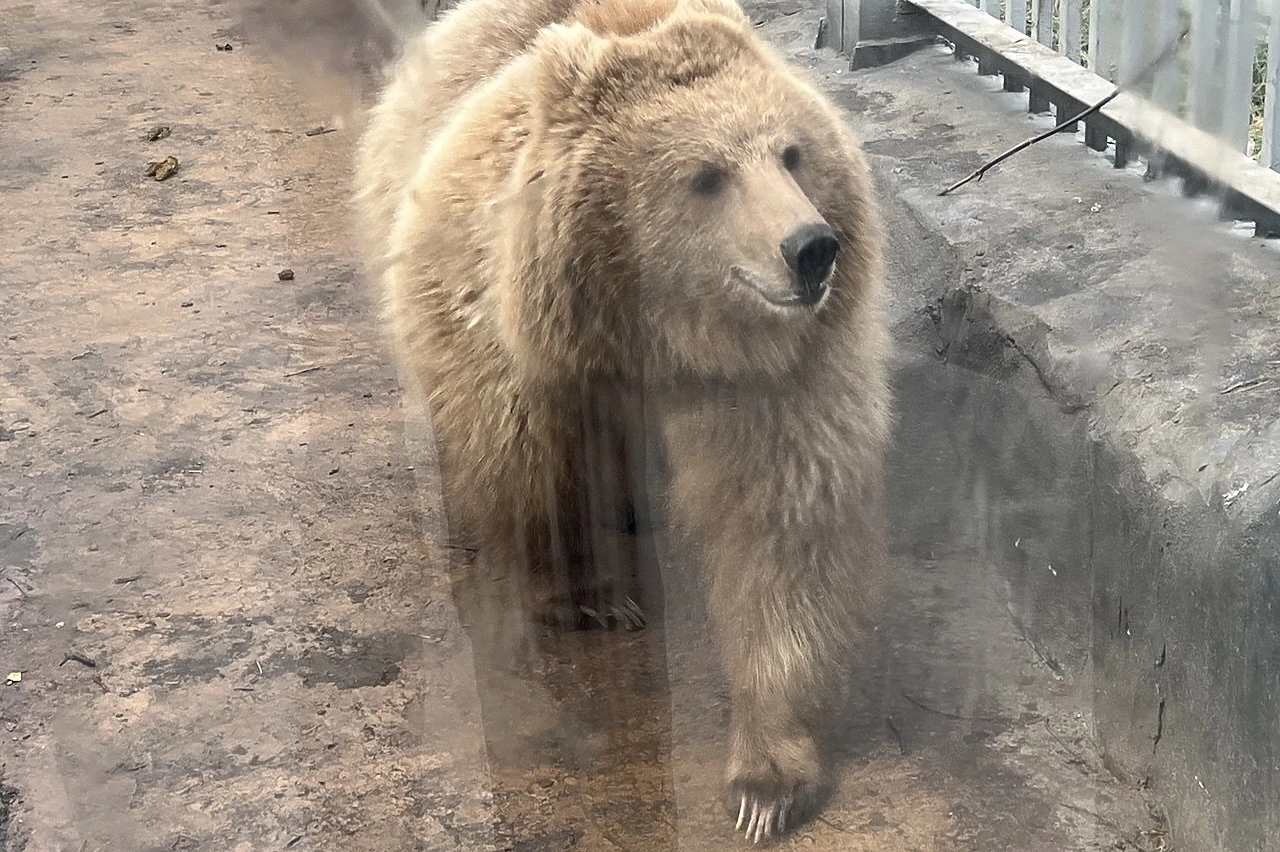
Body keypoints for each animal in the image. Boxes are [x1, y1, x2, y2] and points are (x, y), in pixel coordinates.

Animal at [353, 0, 892, 840]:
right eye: (707, 175)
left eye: (792, 153)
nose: (811, 247)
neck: (659, 328)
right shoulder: (523, 350)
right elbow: (536, 472)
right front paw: (589, 595)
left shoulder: (772, 388)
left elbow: (778, 532)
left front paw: (767, 779)